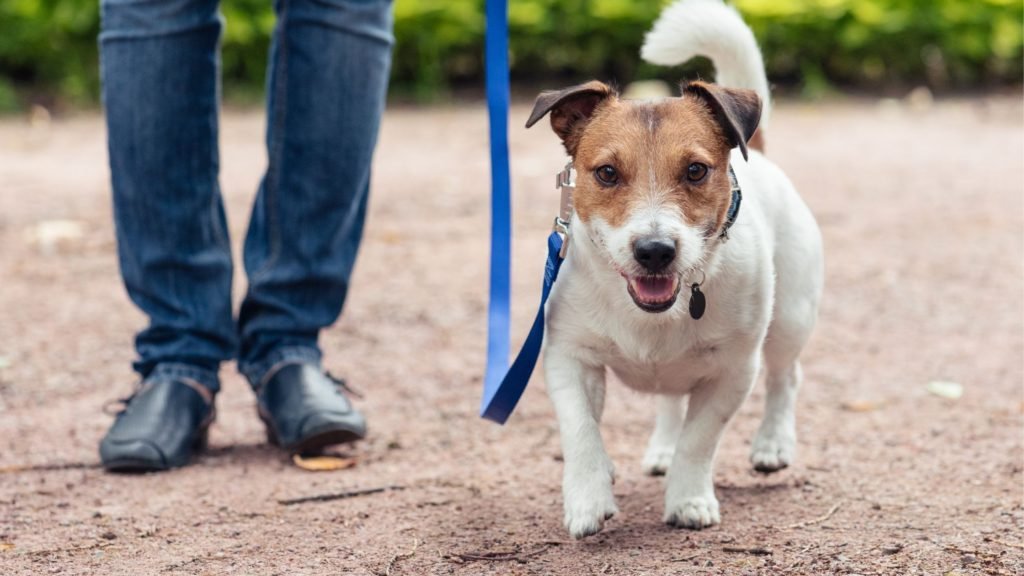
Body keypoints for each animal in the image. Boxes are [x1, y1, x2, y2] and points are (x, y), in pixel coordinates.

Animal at [528, 1, 823, 537]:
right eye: (606, 173)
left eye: (696, 170)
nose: (655, 251)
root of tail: (759, 152)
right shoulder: (568, 357)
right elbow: (581, 431)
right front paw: (588, 496)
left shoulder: (733, 371)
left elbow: (699, 439)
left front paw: (689, 499)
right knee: (670, 401)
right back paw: (661, 449)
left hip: (791, 318)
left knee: (785, 377)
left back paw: (772, 444)